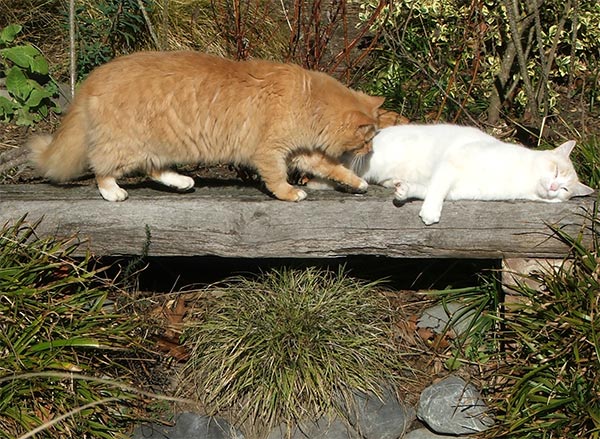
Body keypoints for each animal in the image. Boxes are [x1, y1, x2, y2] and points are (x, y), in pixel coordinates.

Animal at [28, 50, 382, 202]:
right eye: (368, 139)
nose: (371, 150)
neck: (307, 99)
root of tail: (96, 75)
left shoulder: (300, 152)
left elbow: (333, 168)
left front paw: (357, 182)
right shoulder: (270, 152)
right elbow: (277, 179)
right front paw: (289, 193)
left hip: (160, 145)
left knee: (155, 169)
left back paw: (182, 181)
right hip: (126, 145)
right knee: (101, 168)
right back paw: (113, 192)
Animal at [312, 124, 592, 227]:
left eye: (565, 190)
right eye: (556, 171)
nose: (554, 187)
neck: (521, 180)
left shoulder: (459, 190)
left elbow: (427, 189)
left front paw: (405, 192)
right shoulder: (451, 163)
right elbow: (437, 188)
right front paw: (430, 213)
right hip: (364, 165)